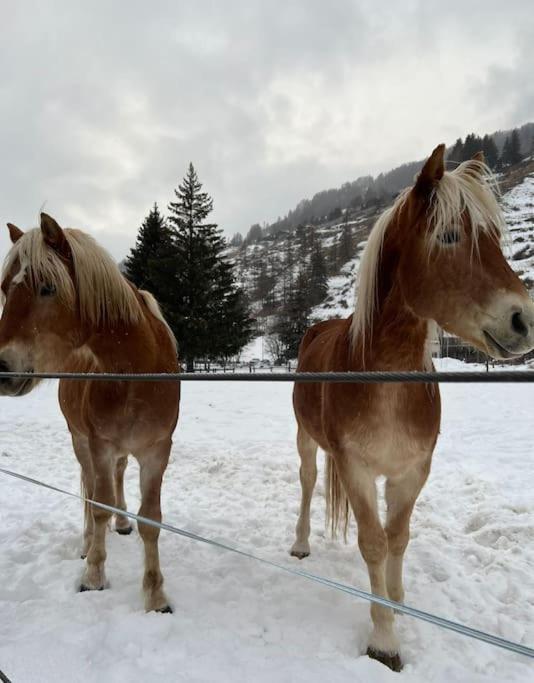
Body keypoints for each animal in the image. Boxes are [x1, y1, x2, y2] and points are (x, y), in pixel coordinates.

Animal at [0, 214, 180, 616]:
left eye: (48, 288)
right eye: (4, 288)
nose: (1, 368)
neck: (135, 373)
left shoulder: (156, 451)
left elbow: (151, 519)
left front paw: (156, 595)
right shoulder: (99, 445)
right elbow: (98, 506)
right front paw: (94, 575)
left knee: (118, 477)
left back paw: (123, 521)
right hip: (81, 442)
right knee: (91, 490)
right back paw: (87, 544)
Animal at [292, 146, 534, 672]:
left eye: (494, 236)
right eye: (449, 237)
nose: (523, 320)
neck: (386, 383)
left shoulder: (413, 470)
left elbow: (397, 536)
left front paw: (398, 599)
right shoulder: (357, 469)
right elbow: (373, 542)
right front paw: (384, 639)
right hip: (305, 440)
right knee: (307, 481)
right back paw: (300, 543)